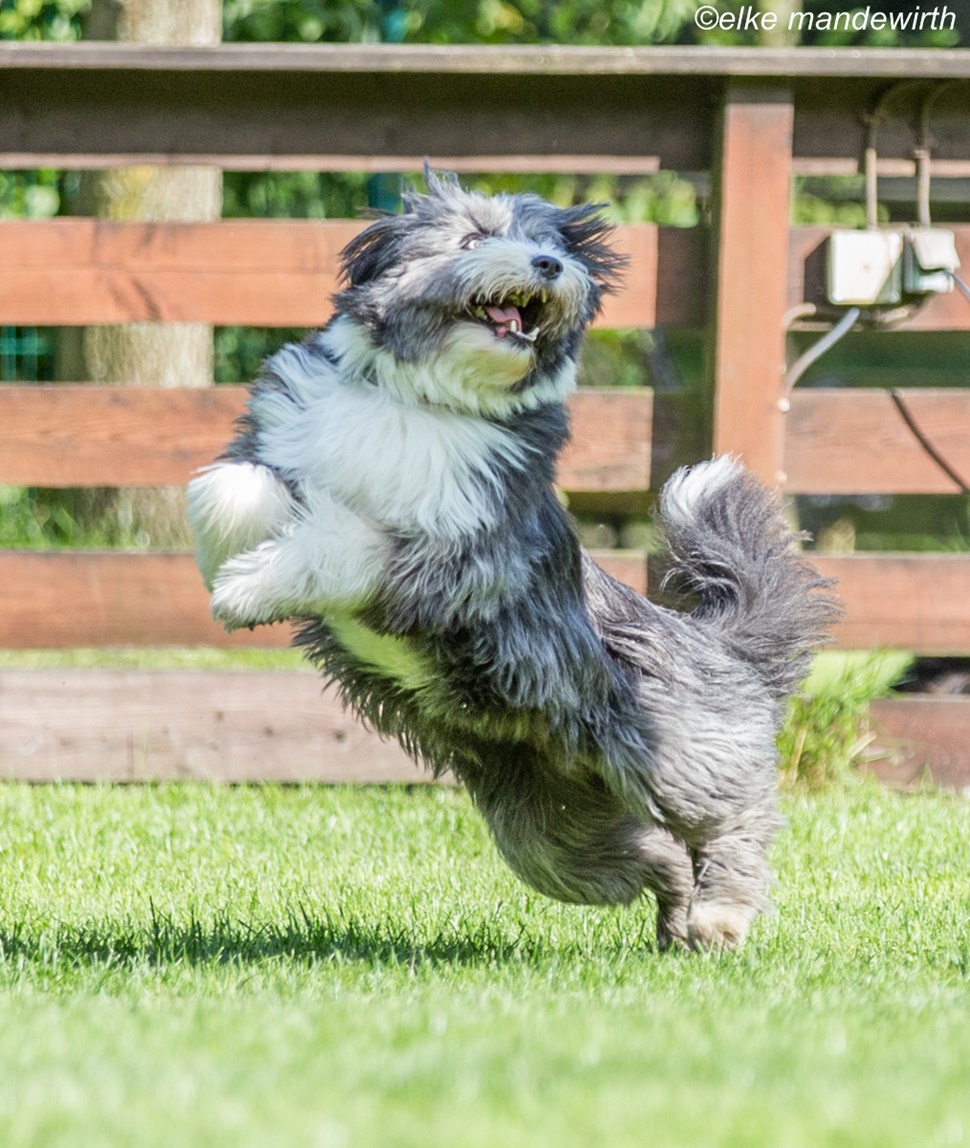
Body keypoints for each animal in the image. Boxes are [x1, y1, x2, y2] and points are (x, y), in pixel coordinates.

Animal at [187, 168, 838, 952]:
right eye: (473, 239)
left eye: (552, 243)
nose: (549, 266)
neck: (427, 403)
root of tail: (717, 644)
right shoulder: (290, 443)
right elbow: (227, 486)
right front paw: (233, 558)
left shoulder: (467, 560)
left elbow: (351, 540)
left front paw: (249, 589)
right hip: (553, 836)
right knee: (659, 855)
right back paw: (679, 929)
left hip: (675, 753)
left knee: (735, 821)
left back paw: (721, 915)